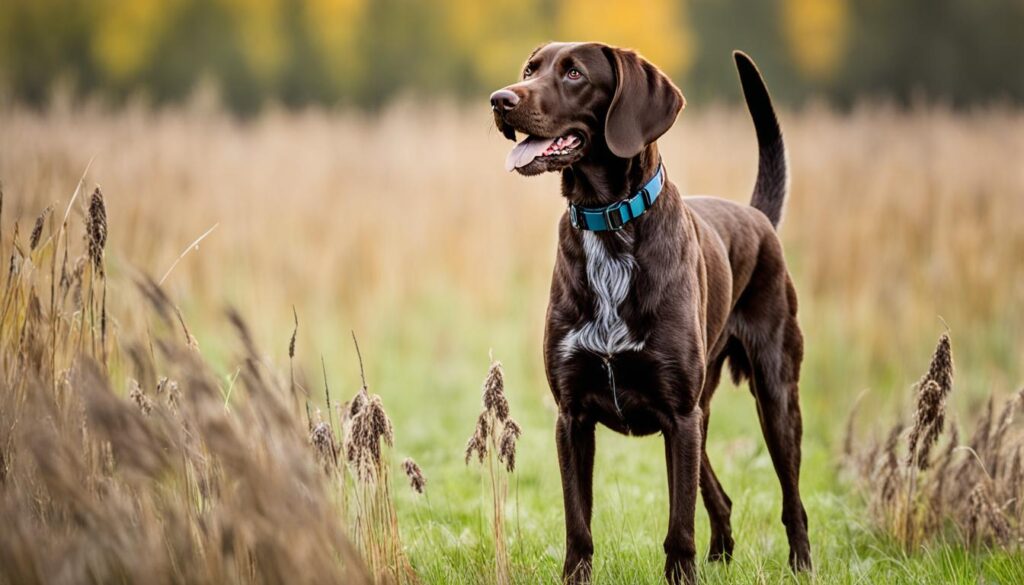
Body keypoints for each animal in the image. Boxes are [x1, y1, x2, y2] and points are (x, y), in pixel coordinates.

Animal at [491, 43, 811, 581]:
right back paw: (721, 557)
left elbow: (679, 527)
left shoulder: (677, 417)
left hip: (773, 396)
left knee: (793, 500)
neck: (607, 221)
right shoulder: (572, 418)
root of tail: (757, 216)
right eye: (530, 70)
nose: (500, 100)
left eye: (574, 73)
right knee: (720, 497)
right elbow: (578, 523)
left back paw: (801, 564)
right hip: (701, 414)